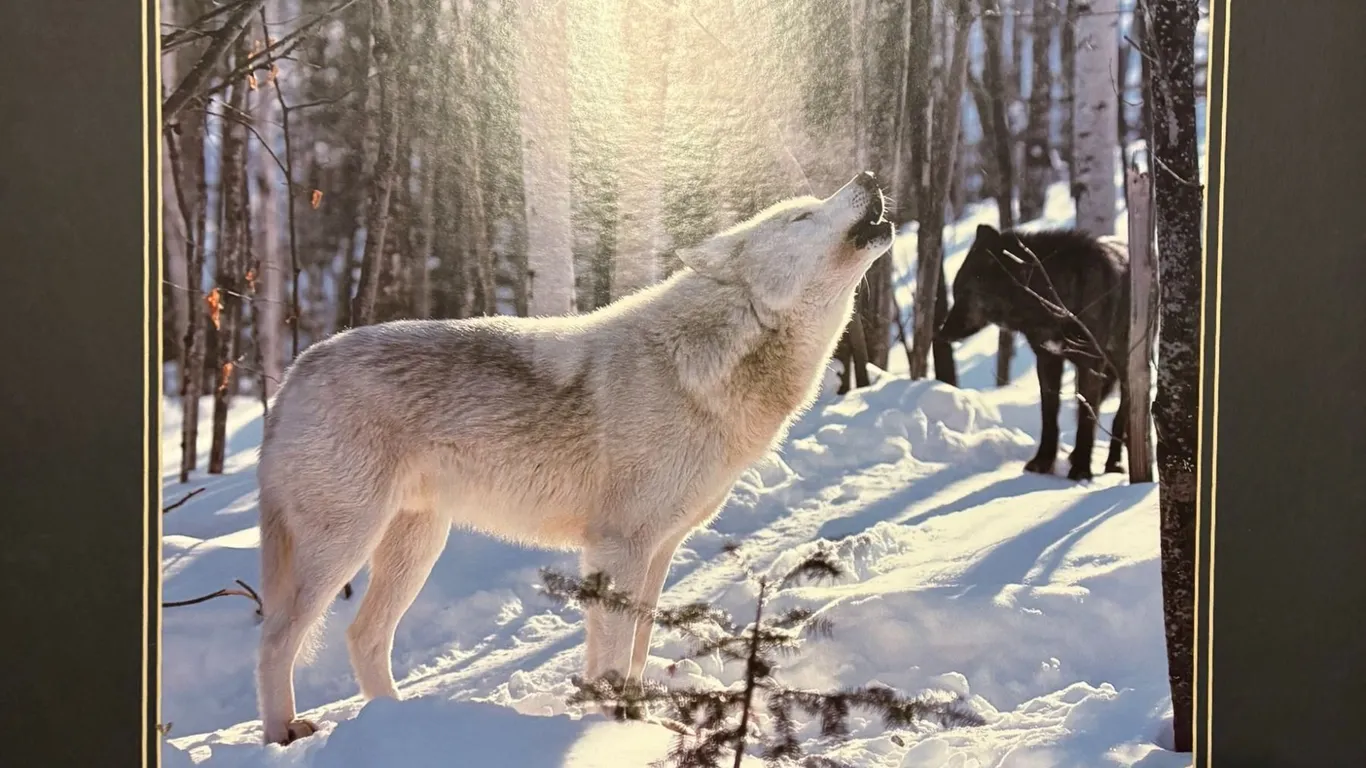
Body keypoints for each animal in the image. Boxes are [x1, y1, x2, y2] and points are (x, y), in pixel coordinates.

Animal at [253, 172, 894, 744]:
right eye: (802, 217)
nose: (868, 174)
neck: (704, 366)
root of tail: (297, 370)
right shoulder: (618, 546)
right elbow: (612, 656)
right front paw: (613, 732)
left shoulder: (659, 551)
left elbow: (635, 651)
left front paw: (640, 724)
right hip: (345, 546)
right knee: (277, 638)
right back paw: (285, 732)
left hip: (415, 547)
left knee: (362, 636)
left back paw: (397, 726)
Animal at [936, 224, 1130, 481]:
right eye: (955, 292)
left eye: (964, 293)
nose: (940, 333)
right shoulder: (1047, 359)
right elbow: (1049, 415)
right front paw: (1043, 462)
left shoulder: (1090, 364)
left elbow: (1086, 418)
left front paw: (1080, 470)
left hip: (1127, 367)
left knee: (1121, 413)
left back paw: (1114, 463)